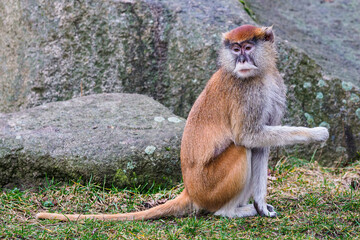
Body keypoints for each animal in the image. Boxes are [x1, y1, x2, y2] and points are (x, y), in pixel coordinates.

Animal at [36, 24, 330, 221]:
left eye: (248, 47)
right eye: (235, 49)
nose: (242, 59)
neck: (259, 74)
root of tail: (190, 191)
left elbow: (261, 146)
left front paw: (262, 205)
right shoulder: (246, 94)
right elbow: (248, 137)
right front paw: (317, 133)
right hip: (210, 187)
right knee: (239, 149)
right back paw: (229, 211)